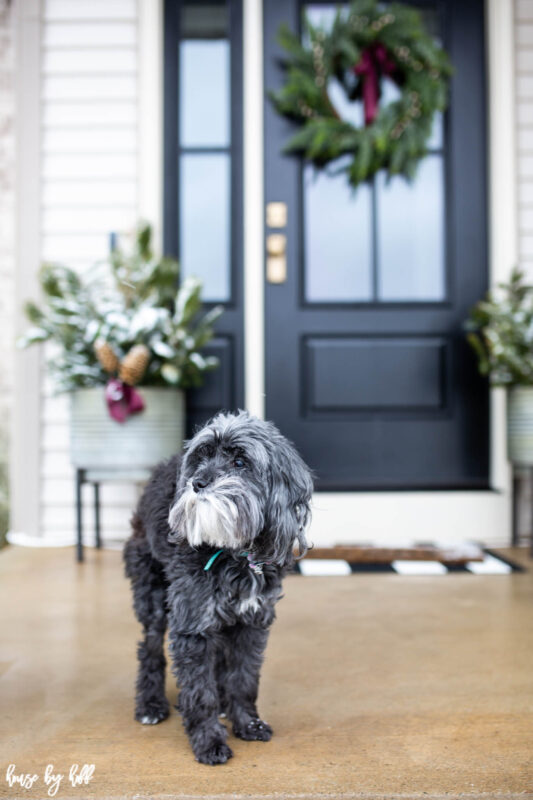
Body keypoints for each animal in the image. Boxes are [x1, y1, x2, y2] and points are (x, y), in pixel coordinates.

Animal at [123, 410, 312, 764]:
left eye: (240, 462)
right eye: (202, 456)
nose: (197, 483)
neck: (234, 553)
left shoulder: (252, 622)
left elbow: (243, 678)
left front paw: (247, 722)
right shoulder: (193, 624)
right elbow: (200, 690)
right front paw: (208, 741)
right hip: (152, 594)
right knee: (150, 648)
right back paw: (151, 704)